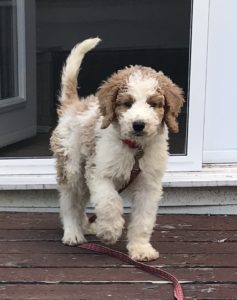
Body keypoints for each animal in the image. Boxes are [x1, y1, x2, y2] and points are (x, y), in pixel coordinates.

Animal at [50, 37, 184, 262]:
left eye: (153, 104)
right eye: (127, 103)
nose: (138, 125)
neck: (134, 150)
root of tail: (74, 105)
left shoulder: (149, 185)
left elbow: (143, 219)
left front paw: (140, 248)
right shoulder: (99, 172)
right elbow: (109, 201)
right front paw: (110, 230)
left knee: (81, 201)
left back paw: (86, 225)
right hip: (71, 166)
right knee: (69, 201)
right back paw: (73, 232)